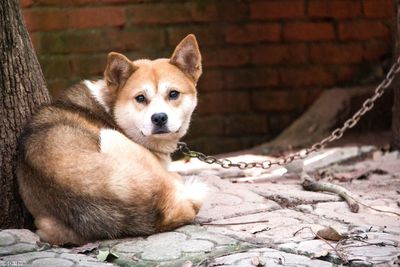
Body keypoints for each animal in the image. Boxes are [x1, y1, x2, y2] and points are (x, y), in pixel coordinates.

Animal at [15, 34, 206, 246]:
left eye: (173, 94)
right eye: (140, 98)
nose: (159, 118)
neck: (110, 107)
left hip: (46, 228)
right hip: (109, 135)